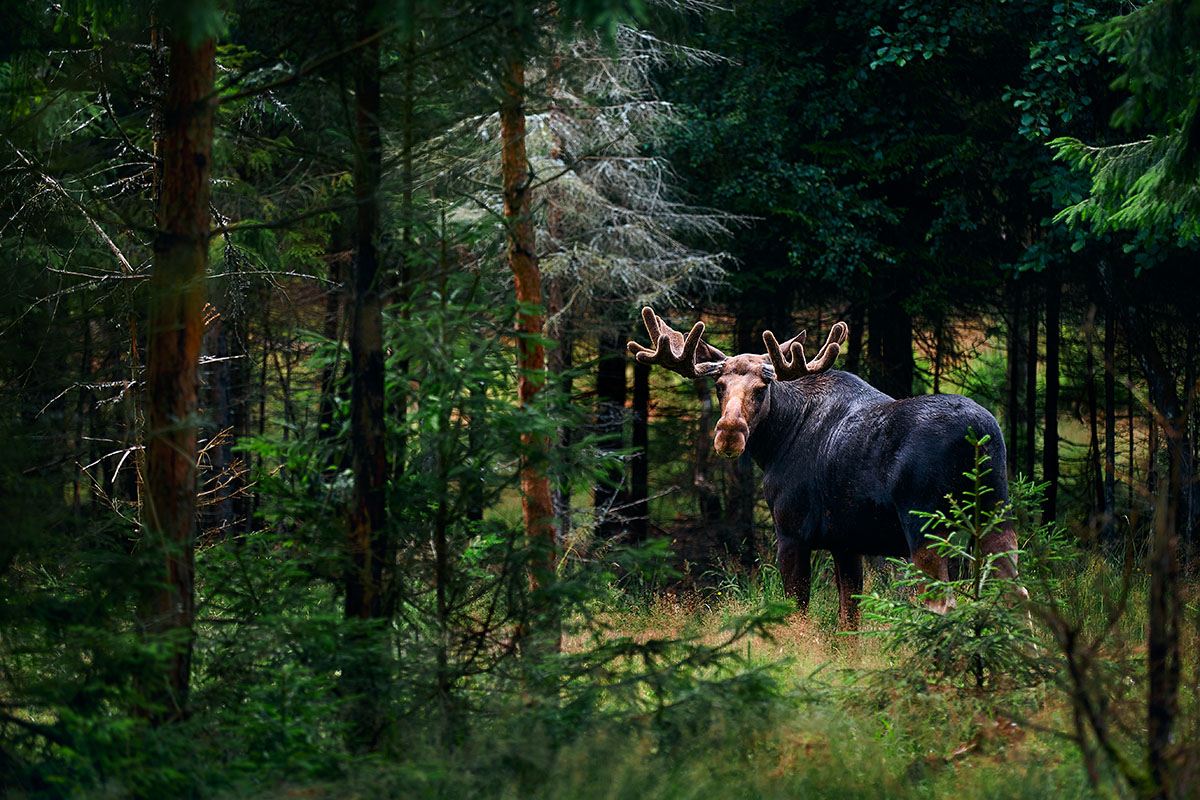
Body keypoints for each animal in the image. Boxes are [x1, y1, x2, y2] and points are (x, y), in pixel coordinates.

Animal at [628, 307, 1022, 633]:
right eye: (719, 385)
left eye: (762, 387)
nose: (728, 434)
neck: (776, 443)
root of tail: (978, 435)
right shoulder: (846, 542)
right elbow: (850, 622)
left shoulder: (791, 533)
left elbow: (797, 615)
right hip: (996, 515)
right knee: (1016, 596)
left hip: (926, 525)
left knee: (944, 604)